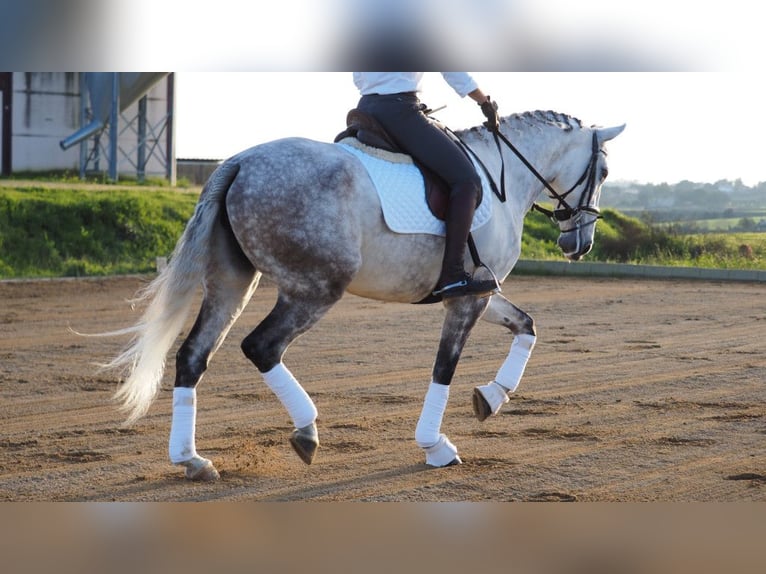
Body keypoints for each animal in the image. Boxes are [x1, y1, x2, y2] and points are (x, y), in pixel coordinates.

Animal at [105, 111, 628, 482]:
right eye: (603, 170)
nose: (579, 244)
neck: (503, 183)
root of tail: (240, 162)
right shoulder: (466, 298)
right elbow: (444, 368)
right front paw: (435, 445)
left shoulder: (483, 290)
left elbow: (527, 326)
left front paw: (491, 398)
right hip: (315, 289)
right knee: (262, 347)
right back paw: (306, 431)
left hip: (233, 281)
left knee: (194, 355)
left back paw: (192, 460)